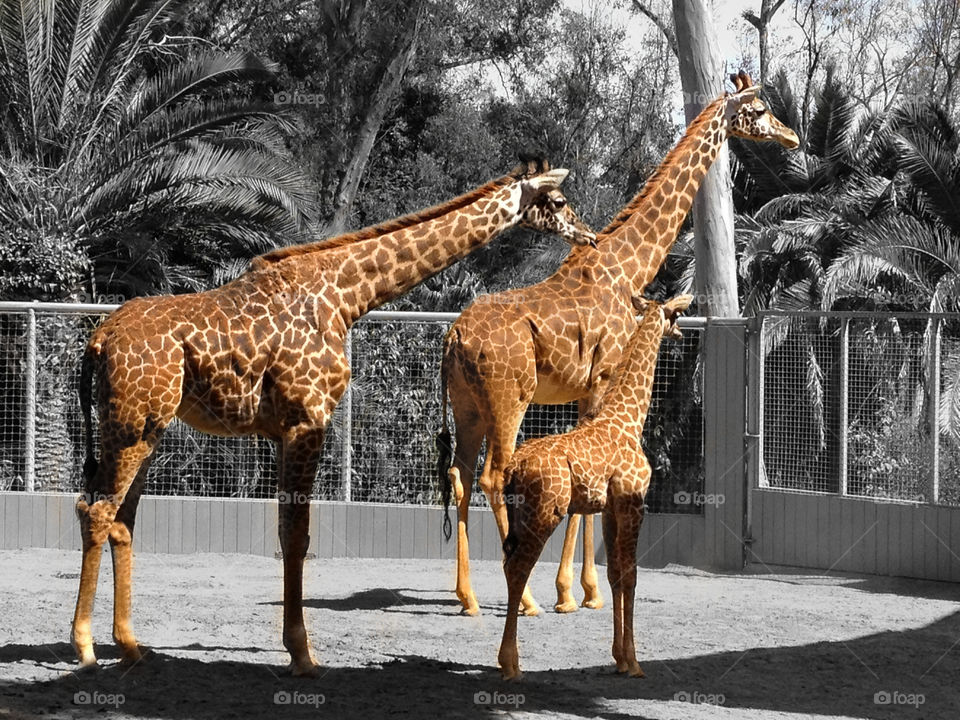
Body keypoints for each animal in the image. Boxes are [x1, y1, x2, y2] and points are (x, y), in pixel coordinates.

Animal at [69, 160, 597, 676]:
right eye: (559, 200)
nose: (587, 235)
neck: (346, 295)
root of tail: (98, 340)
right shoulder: (308, 418)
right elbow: (298, 535)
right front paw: (302, 654)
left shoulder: (285, 430)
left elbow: (289, 532)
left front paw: (296, 647)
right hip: (132, 425)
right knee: (96, 511)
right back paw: (86, 646)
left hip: (147, 427)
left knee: (121, 519)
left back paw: (131, 645)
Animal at [436, 72, 799, 616]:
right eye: (757, 110)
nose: (791, 136)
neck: (629, 264)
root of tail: (454, 337)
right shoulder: (604, 378)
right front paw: (577, 592)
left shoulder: (588, 388)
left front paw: (577, 590)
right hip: (508, 398)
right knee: (491, 477)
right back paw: (524, 599)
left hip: (468, 403)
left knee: (459, 475)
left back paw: (469, 598)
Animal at [497, 293, 693, 680]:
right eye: (675, 313)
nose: (679, 331)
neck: (628, 419)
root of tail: (514, 468)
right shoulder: (634, 501)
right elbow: (631, 575)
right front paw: (634, 662)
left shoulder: (611, 507)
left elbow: (615, 574)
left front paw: (618, 658)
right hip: (546, 511)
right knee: (518, 567)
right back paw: (511, 665)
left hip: (521, 514)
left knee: (509, 563)